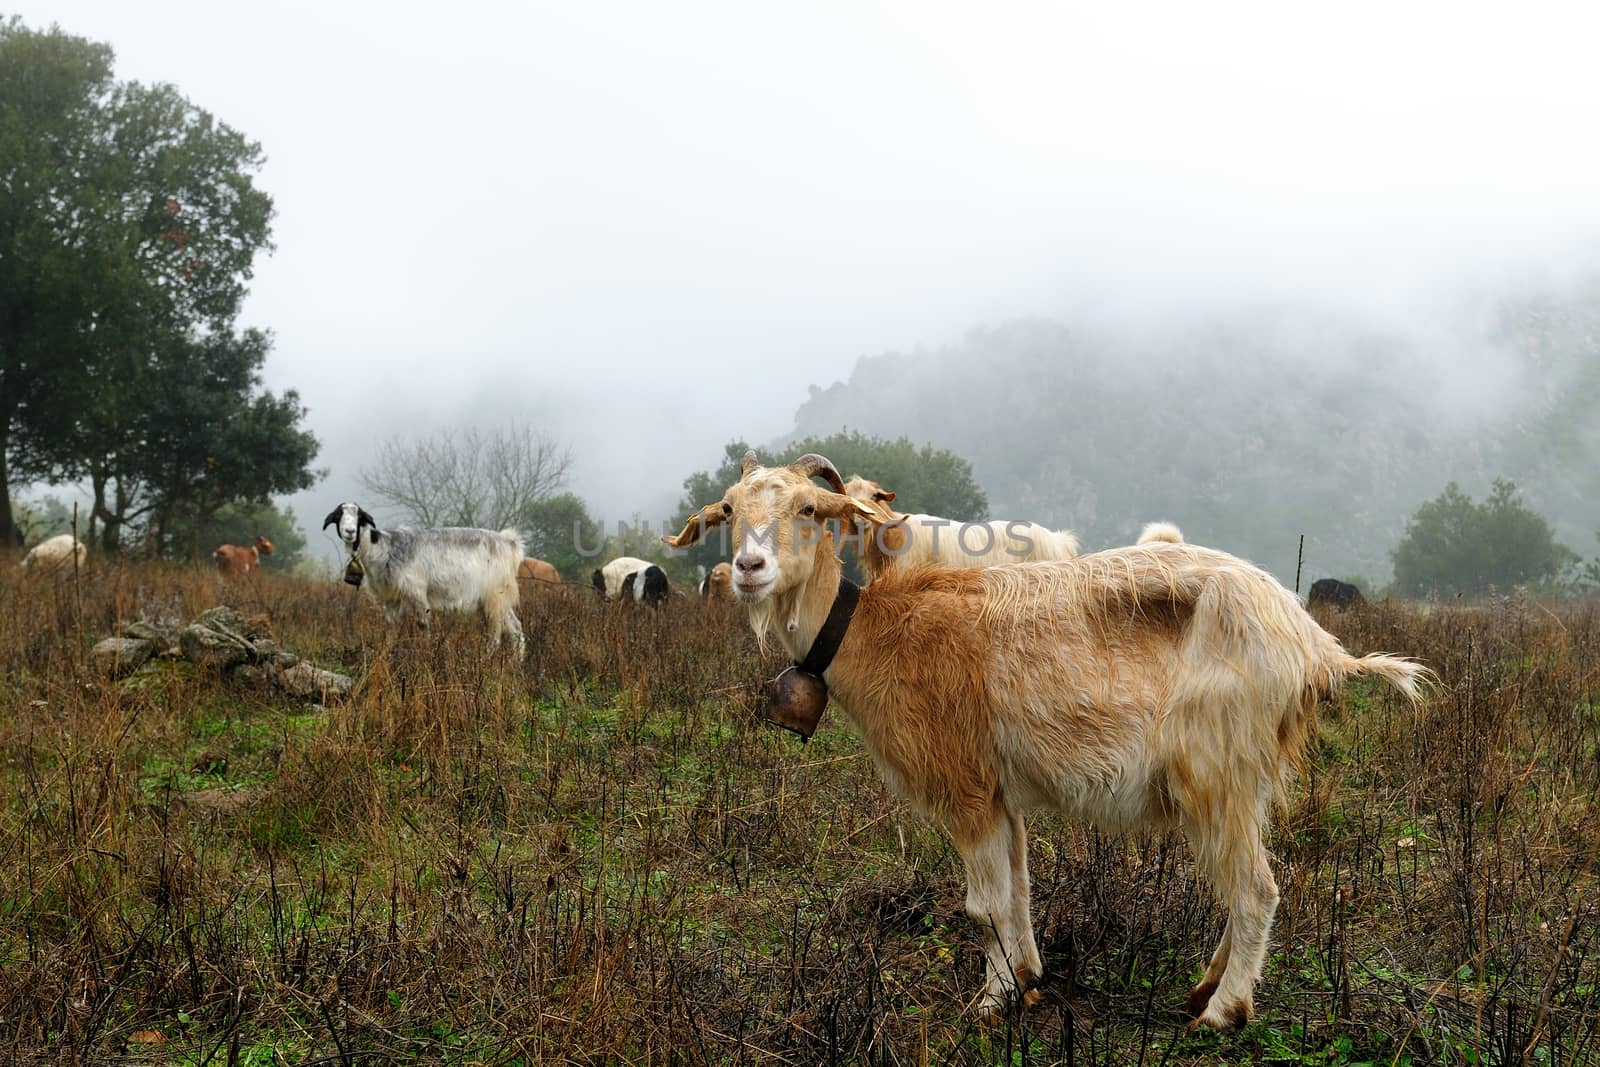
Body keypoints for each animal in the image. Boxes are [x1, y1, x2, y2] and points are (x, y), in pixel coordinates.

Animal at [323, 502, 524, 659]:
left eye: (359, 516)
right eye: (339, 514)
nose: (349, 531)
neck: (381, 547)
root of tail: (510, 542)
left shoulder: (416, 590)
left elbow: (422, 624)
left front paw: (426, 653)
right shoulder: (392, 597)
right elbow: (392, 626)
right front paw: (387, 654)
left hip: (495, 596)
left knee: (495, 635)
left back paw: (485, 661)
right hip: (499, 598)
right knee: (516, 629)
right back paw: (516, 665)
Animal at [668, 454, 1433, 1030]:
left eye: (808, 509)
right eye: (729, 510)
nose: (750, 569)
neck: (874, 630)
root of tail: (1315, 645)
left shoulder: (965, 786)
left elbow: (983, 906)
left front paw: (990, 1003)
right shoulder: (1001, 795)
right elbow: (1019, 891)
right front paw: (1027, 977)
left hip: (1215, 766)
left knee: (1256, 889)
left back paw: (1222, 1011)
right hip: (1245, 778)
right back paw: (1204, 985)